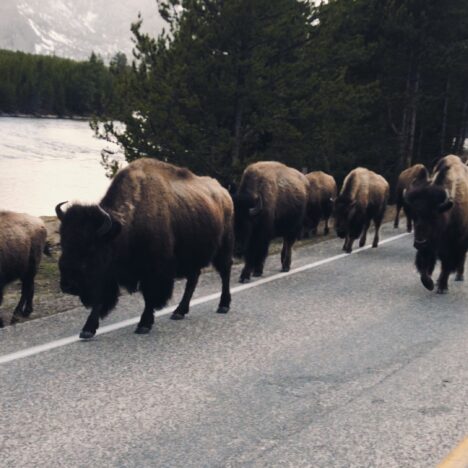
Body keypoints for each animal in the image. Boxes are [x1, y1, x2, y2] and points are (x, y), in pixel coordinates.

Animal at [56, 159, 234, 338]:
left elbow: (149, 297)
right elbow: (99, 300)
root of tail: (224, 193)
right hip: (193, 258)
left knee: (225, 272)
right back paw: (179, 312)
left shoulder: (153, 272)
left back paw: (223, 306)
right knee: (193, 280)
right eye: (63, 241)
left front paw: (143, 325)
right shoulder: (108, 275)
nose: (68, 285)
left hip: (223, 248)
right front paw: (87, 329)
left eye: (91, 247)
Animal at [402, 154, 468, 292]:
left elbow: (446, 265)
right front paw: (430, 284)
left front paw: (441, 287)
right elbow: (424, 266)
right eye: (414, 215)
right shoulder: (429, 247)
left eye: (434, 215)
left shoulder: (452, 245)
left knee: (461, 258)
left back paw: (459, 276)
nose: (420, 242)